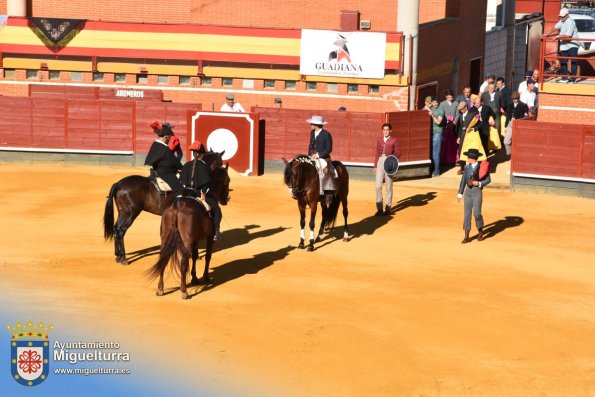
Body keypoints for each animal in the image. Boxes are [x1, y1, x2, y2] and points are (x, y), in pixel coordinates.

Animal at [145, 163, 230, 296]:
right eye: (228, 180)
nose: (226, 199)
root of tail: (177, 206)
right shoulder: (209, 237)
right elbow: (207, 256)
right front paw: (206, 277)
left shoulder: (195, 239)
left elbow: (195, 256)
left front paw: (194, 278)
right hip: (187, 241)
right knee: (183, 263)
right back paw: (184, 291)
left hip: (165, 238)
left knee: (163, 259)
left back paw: (160, 289)